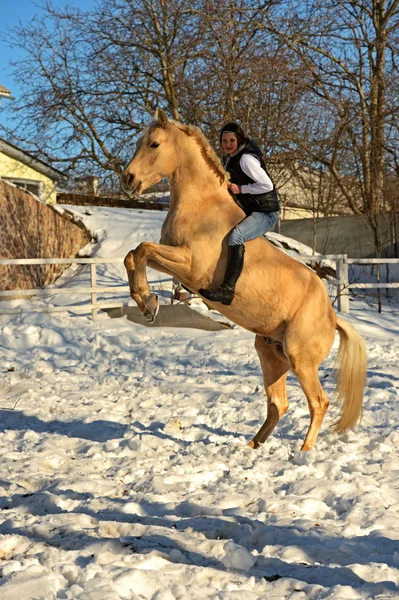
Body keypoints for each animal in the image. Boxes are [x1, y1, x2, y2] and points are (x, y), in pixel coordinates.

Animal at [123, 111, 368, 450]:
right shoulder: (174, 264)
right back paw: (253, 447)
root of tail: (333, 318)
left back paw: (302, 453)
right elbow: (133, 255)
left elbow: (142, 249)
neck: (200, 205)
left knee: (318, 402)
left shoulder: (188, 265)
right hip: (271, 355)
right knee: (279, 404)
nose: (128, 180)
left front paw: (149, 304)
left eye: (154, 144)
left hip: (300, 359)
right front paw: (148, 305)